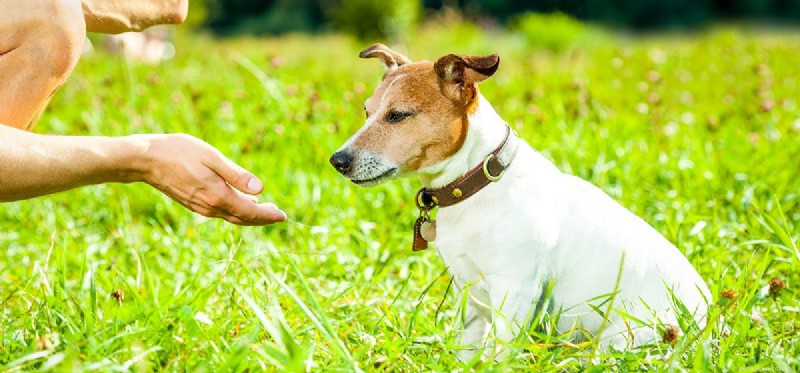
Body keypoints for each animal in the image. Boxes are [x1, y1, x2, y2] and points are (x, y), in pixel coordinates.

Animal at [328, 44, 708, 360]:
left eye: (398, 115)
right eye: (366, 111)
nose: (337, 160)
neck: (478, 182)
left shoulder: (515, 292)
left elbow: (499, 355)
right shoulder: (469, 295)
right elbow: (468, 351)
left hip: (618, 339)